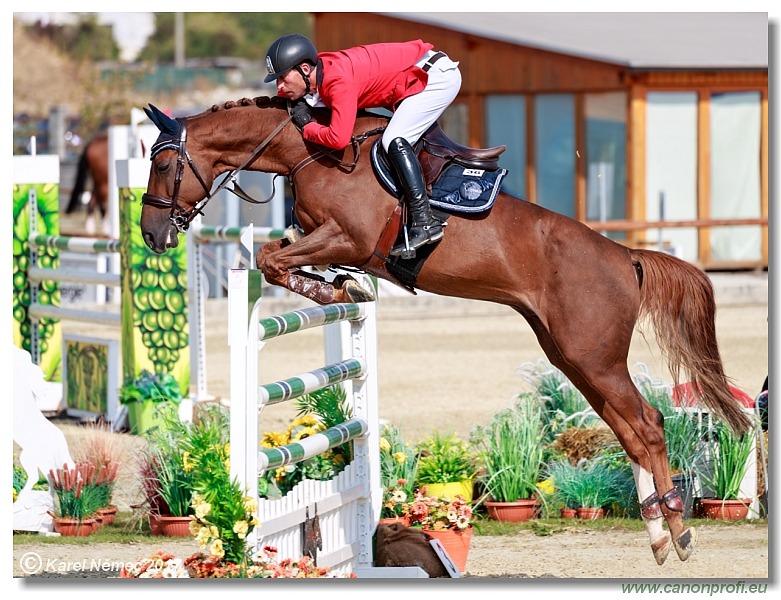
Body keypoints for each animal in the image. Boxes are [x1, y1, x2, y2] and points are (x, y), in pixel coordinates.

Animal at [140, 96, 756, 564]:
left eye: (162, 165)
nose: (151, 233)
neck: (310, 151)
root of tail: (624, 256)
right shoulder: (323, 237)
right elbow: (280, 256)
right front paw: (342, 288)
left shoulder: (348, 237)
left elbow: (271, 259)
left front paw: (338, 291)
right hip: (573, 357)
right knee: (629, 431)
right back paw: (658, 536)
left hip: (594, 358)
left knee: (648, 425)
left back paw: (678, 531)